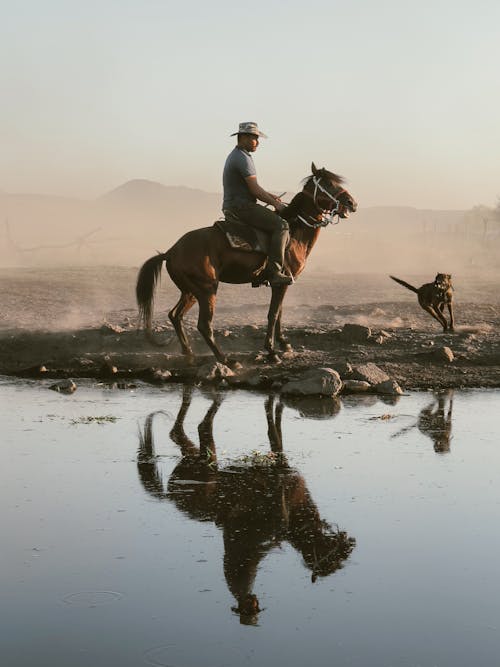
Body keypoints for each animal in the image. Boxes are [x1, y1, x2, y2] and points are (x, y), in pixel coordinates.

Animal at [135, 162, 358, 362]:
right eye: (328, 183)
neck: (295, 232)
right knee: (203, 325)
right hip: (207, 290)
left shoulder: (281, 284)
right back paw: (225, 359)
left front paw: (284, 344)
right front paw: (271, 351)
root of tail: (171, 252)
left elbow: (279, 314)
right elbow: (272, 314)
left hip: (190, 291)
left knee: (175, 315)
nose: (352, 203)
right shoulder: (281, 282)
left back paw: (189, 352)